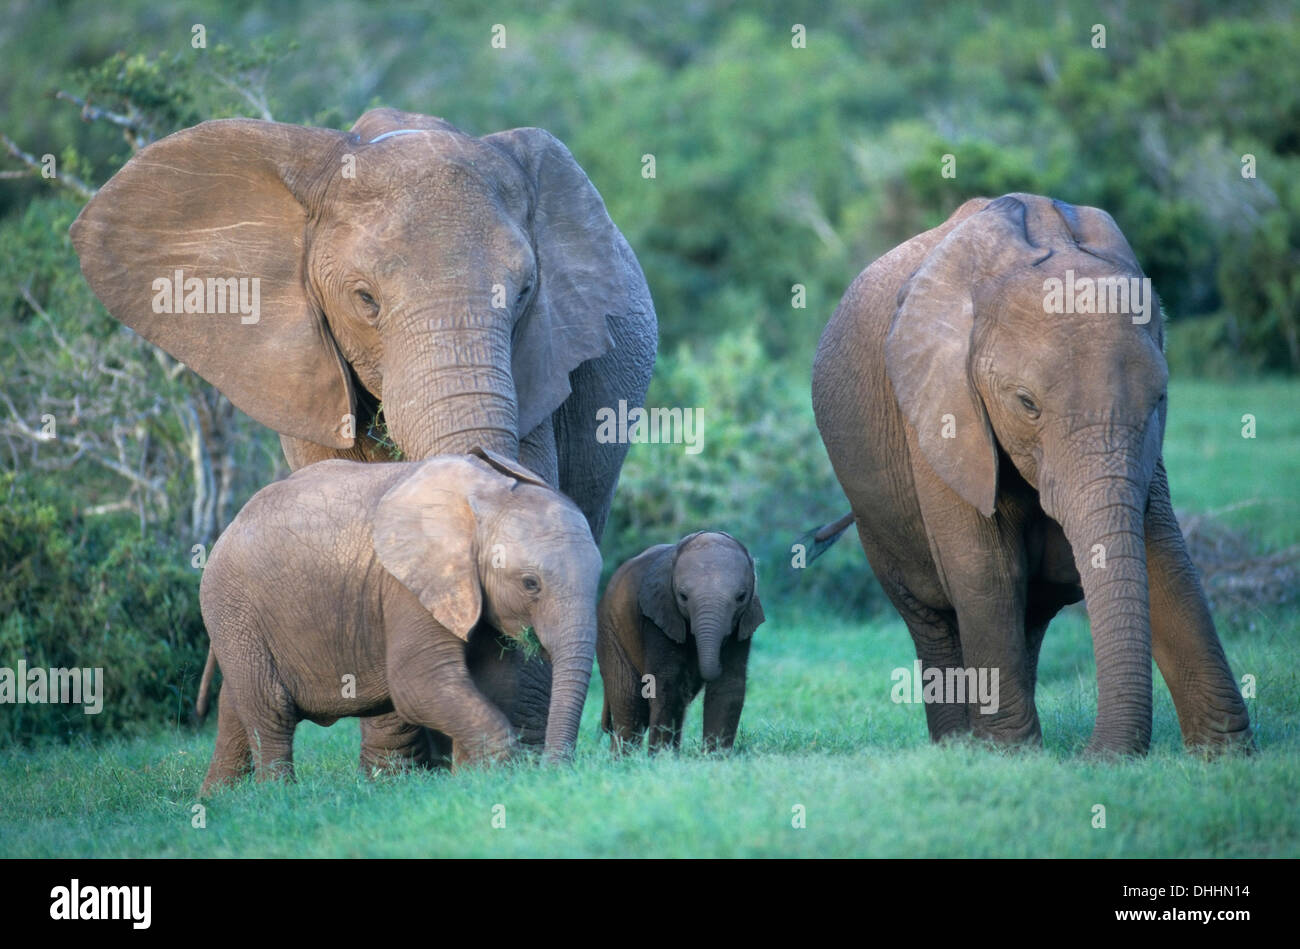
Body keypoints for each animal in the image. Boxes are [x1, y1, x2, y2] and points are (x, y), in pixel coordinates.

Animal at [195, 447, 600, 795]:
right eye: (531, 584)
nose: (554, 774)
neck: (490, 493)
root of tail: (225, 531)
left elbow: (492, 682)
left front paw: (473, 782)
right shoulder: (406, 587)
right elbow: (419, 684)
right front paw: (497, 782)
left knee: (235, 708)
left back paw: (221, 800)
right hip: (232, 605)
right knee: (271, 707)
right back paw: (278, 797)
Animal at [595, 527, 764, 748]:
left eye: (741, 597)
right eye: (683, 596)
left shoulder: (742, 622)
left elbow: (729, 687)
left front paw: (715, 755)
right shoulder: (658, 616)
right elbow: (666, 687)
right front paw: (661, 756)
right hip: (609, 632)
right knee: (629, 704)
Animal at [811, 192, 1248, 754]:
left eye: (1160, 399)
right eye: (1026, 404)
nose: (1091, 757)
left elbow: (1164, 553)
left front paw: (1225, 756)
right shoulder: (938, 410)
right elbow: (984, 568)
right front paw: (1009, 757)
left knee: (1031, 614)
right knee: (931, 616)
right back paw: (958, 746)